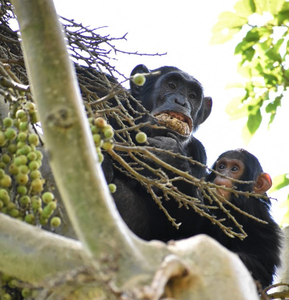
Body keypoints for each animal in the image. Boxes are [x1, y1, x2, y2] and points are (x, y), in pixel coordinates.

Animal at [102, 63, 212, 241]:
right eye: (171, 85)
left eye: (192, 96)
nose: (181, 101)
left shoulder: (200, 154)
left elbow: (193, 223)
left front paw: (169, 154)